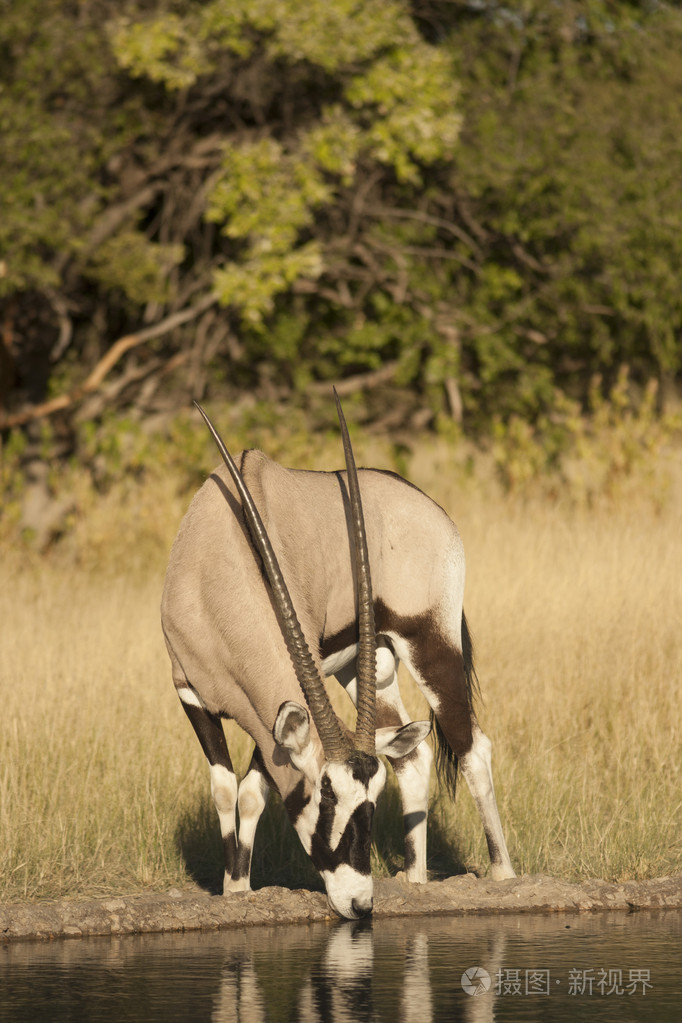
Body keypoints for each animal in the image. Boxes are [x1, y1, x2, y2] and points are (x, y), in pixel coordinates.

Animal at [161, 392, 511, 920]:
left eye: (369, 803)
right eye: (324, 799)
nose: (361, 903)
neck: (219, 567)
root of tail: (429, 506)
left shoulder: (278, 709)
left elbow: (251, 792)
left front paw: (238, 888)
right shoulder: (191, 693)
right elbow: (226, 788)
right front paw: (235, 887)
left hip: (431, 643)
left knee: (472, 747)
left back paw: (503, 874)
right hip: (367, 667)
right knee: (413, 753)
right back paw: (416, 879)